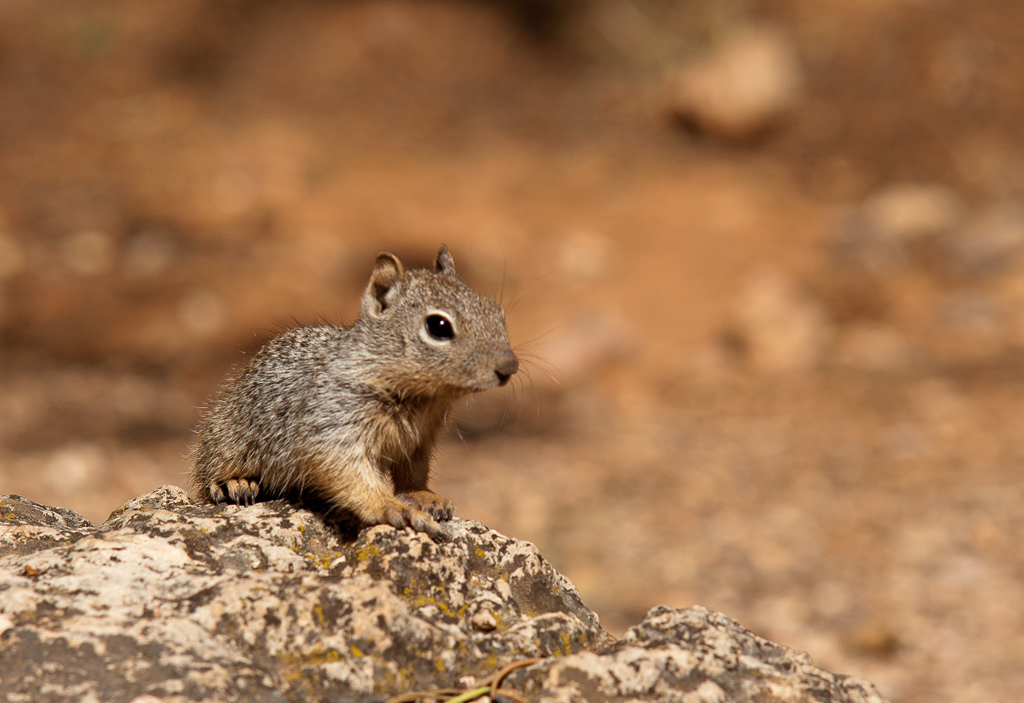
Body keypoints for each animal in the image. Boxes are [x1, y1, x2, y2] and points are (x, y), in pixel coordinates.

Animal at [190, 247, 520, 540]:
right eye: (438, 326)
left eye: (496, 310)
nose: (510, 366)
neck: (421, 398)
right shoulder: (330, 426)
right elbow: (350, 476)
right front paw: (394, 508)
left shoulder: (419, 443)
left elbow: (411, 475)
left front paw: (424, 497)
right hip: (225, 439)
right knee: (207, 474)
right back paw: (235, 483)